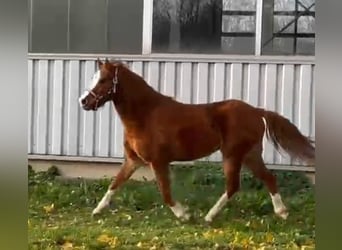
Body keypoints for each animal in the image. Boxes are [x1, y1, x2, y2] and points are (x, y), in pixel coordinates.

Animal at [79, 59, 314, 223]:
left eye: (102, 80)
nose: (83, 102)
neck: (145, 115)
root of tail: (257, 111)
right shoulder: (133, 160)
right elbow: (115, 183)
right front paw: (97, 210)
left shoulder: (158, 161)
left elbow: (165, 193)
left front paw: (184, 215)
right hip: (250, 154)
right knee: (268, 178)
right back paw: (281, 212)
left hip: (233, 155)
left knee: (234, 185)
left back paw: (209, 217)